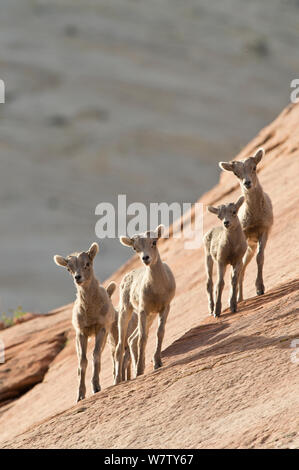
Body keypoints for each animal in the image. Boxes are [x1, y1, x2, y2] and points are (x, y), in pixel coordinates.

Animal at [54, 244, 117, 402]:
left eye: (87, 264)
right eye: (68, 268)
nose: (78, 277)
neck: (91, 311)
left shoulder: (101, 329)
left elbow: (95, 355)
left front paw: (96, 387)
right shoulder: (81, 333)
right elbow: (83, 361)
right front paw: (80, 395)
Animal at [114, 226, 176, 384]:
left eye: (154, 242)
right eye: (135, 248)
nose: (145, 258)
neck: (157, 289)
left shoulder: (164, 308)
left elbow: (160, 332)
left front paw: (157, 363)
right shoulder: (143, 310)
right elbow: (143, 338)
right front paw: (139, 370)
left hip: (150, 316)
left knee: (131, 339)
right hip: (127, 311)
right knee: (121, 346)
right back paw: (118, 380)